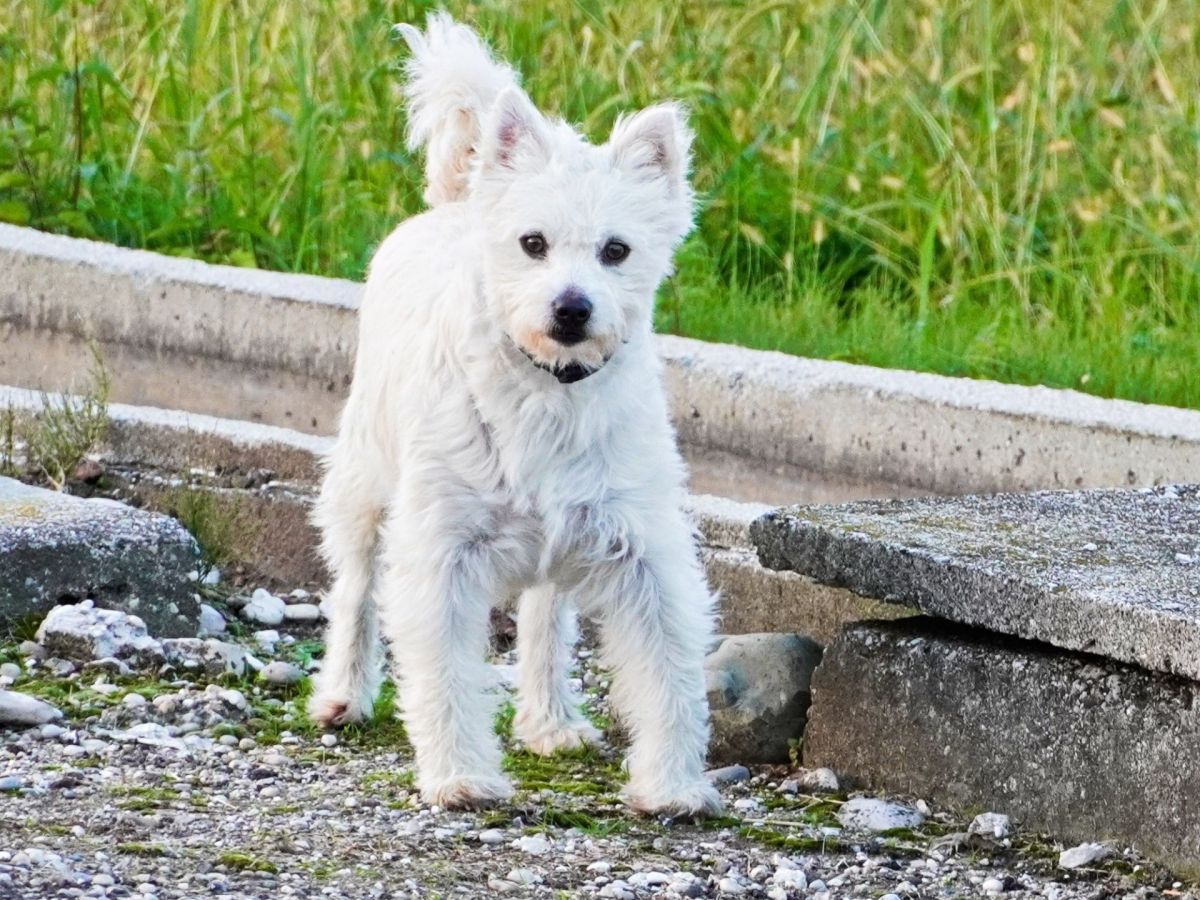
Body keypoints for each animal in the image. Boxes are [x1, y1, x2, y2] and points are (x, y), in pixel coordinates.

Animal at [309, 14, 720, 816]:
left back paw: (550, 719)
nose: (572, 307)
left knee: (544, 618)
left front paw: (672, 784)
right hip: (365, 482)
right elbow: (443, 672)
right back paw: (343, 692)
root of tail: (454, 206)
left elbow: (667, 670)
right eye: (532, 243)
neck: (550, 389)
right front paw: (460, 775)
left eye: (617, 250)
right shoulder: (441, 550)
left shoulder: (643, 551)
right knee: (355, 590)